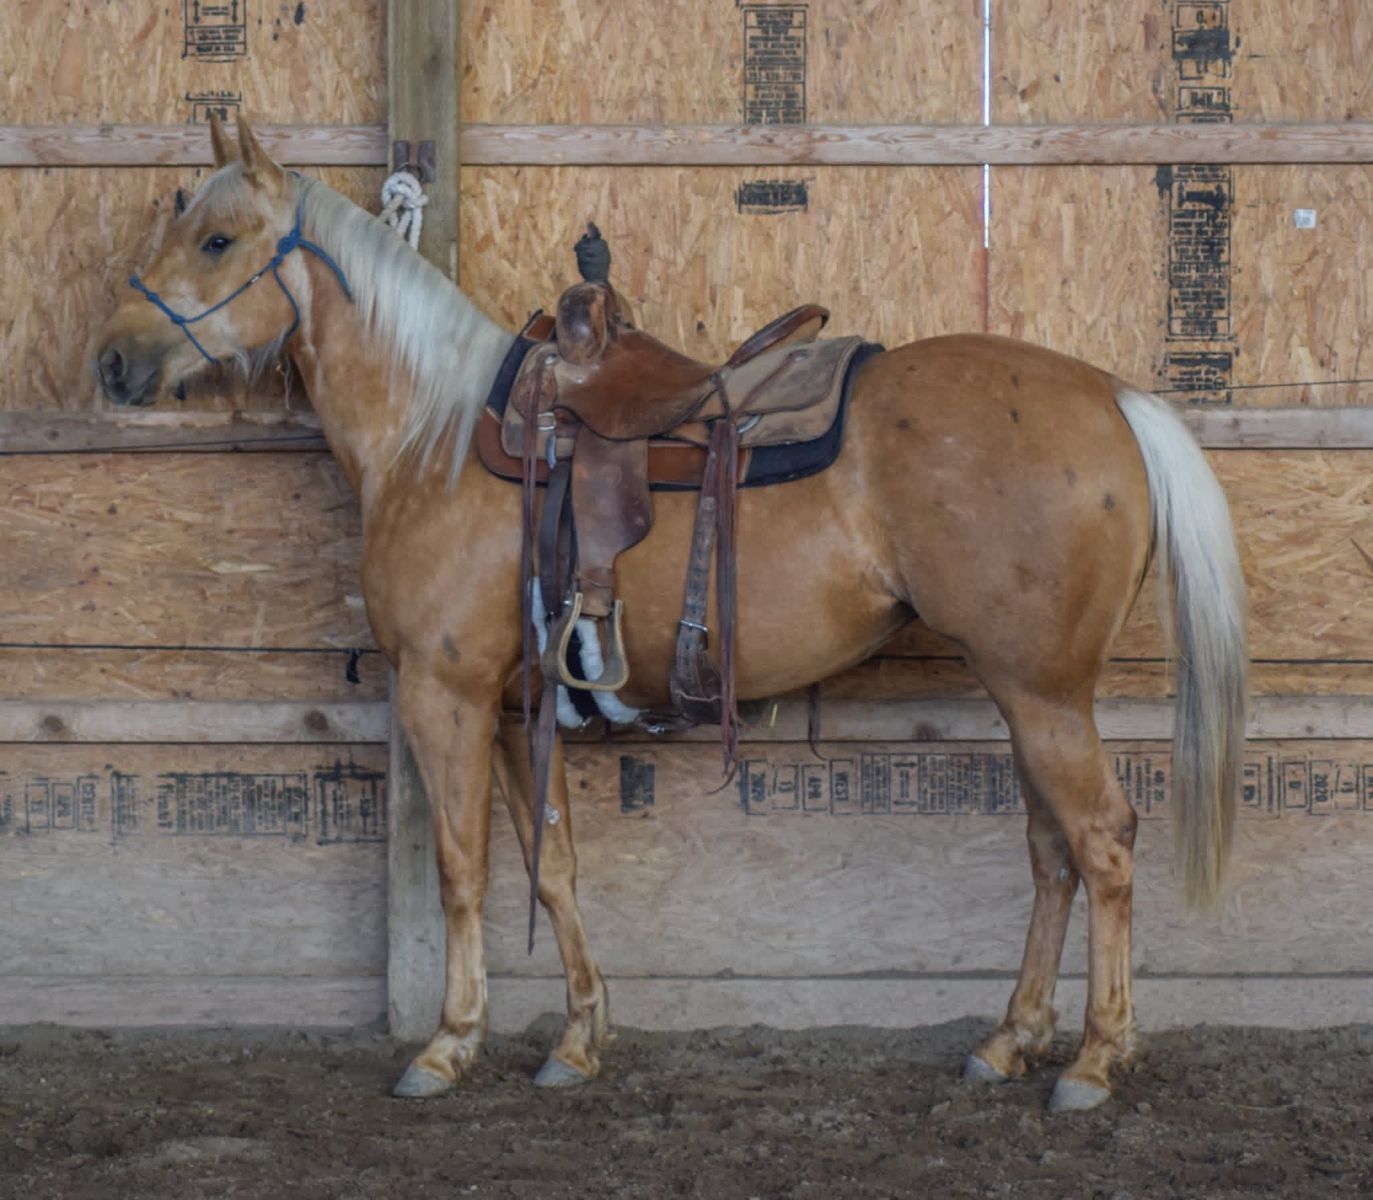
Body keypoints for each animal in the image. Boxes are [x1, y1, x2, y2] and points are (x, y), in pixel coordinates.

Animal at [93, 116, 1247, 1113]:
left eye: (216, 238)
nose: (112, 360)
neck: (432, 436)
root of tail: (1109, 398)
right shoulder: (516, 709)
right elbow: (551, 868)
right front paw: (576, 1039)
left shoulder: (442, 693)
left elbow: (462, 870)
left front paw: (448, 1044)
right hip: (1027, 698)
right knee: (1051, 852)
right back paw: (1008, 1041)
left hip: (1041, 695)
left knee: (1100, 842)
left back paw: (1091, 1060)